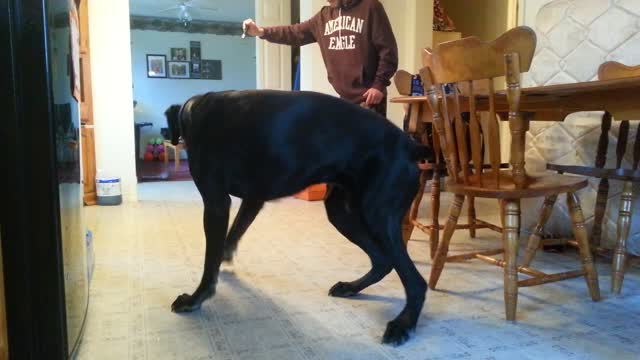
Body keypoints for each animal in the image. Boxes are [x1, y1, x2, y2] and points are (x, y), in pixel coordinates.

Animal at [165, 88, 432, 344]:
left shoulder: (216, 203)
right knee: (382, 261)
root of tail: (410, 145)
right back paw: (351, 287)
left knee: (415, 281)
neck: (194, 110)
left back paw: (402, 324)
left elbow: (210, 259)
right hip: (343, 214)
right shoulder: (253, 200)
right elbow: (231, 236)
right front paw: (224, 260)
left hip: (376, 216)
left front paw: (196, 298)